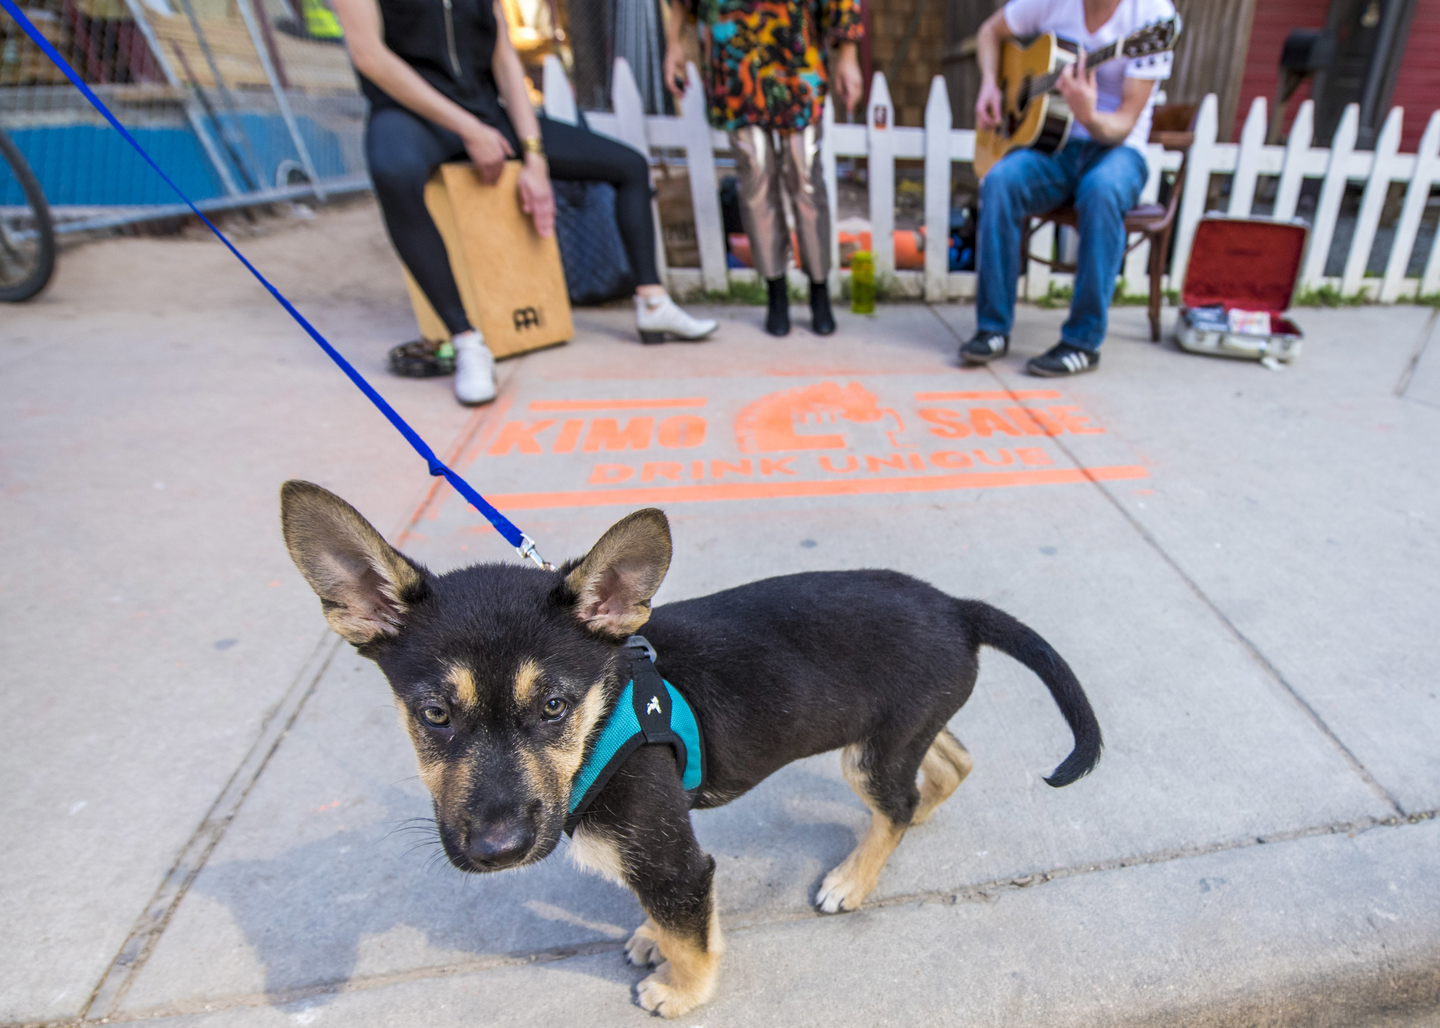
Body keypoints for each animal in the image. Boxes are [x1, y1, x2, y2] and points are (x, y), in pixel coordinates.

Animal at [275, 483, 1094, 1019]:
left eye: (554, 707)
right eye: (435, 714)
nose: (496, 850)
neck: (605, 718)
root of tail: (957, 607)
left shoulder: (673, 856)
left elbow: (690, 932)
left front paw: (682, 990)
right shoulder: (658, 848)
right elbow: (668, 917)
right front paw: (650, 938)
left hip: (870, 750)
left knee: (894, 800)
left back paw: (854, 878)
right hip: (894, 728)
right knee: (945, 761)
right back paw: (916, 813)